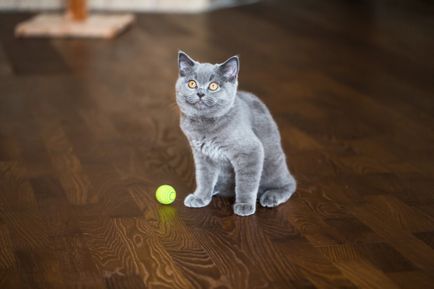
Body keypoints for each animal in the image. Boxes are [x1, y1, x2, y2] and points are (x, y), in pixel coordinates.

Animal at [175, 50, 296, 215]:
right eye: (192, 83)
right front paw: (200, 197)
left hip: (272, 163)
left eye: (213, 86)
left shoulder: (251, 151)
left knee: (289, 183)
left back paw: (271, 196)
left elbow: (246, 182)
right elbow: (204, 177)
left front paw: (244, 205)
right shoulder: (202, 155)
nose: (200, 93)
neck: (204, 124)